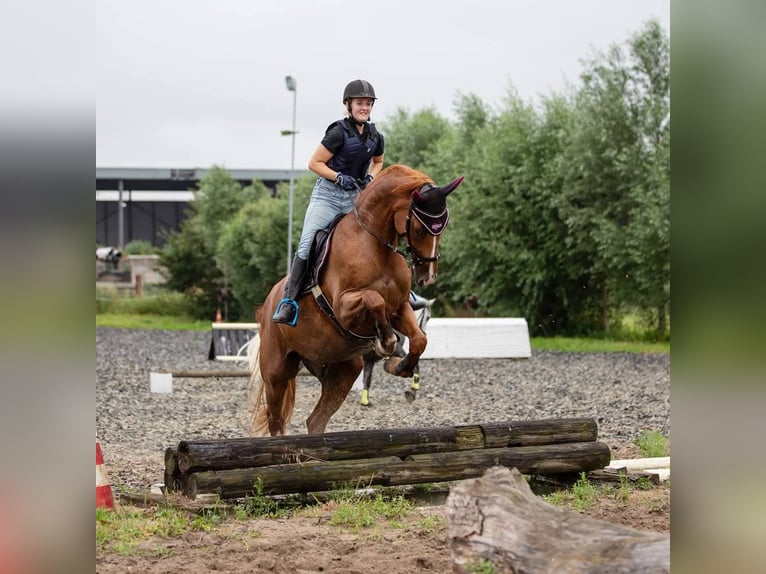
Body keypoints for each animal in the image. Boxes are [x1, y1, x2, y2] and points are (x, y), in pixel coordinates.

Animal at [249, 164, 463, 436]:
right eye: (420, 228)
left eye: (443, 227)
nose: (427, 276)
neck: (375, 245)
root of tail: (266, 307)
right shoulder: (344, 308)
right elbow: (374, 299)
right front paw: (385, 341)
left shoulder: (400, 307)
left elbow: (419, 340)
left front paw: (398, 366)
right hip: (276, 371)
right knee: (276, 421)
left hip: (343, 370)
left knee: (316, 420)